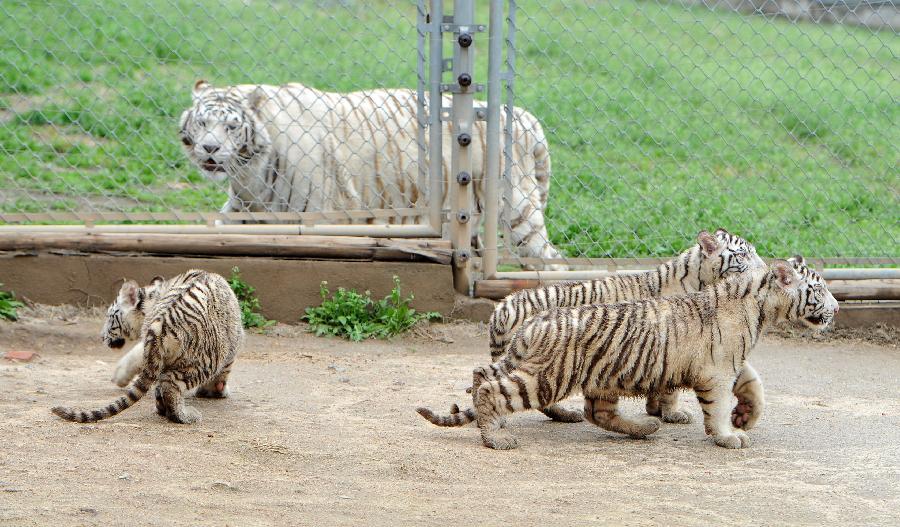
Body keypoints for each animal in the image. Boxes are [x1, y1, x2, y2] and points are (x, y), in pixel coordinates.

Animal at [51, 270, 244, 424]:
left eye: (109, 318)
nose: (101, 337)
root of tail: (163, 320)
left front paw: (119, 376)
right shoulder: (234, 342)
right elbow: (225, 371)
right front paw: (216, 391)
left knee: (161, 385)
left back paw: (163, 408)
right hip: (206, 360)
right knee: (170, 385)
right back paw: (184, 416)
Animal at [179, 80, 566, 269]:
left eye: (231, 127)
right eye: (202, 123)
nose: (209, 149)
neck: (248, 171)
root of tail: (526, 117)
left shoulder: (319, 215)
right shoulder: (244, 208)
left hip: (516, 209)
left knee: (554, 262)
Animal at [417, 257, 838, 449]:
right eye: (819, 289)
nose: (836, 308)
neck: (761, 305)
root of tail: (532, 324)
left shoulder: (731, 362)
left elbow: (755, 384)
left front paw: (746, 416)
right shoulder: (716, 372)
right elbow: (717, 407)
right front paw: (728, 435)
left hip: (596, 378)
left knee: (594, 412)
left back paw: (644, 429)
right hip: (546, 376)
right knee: (491, 388)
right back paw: (495, 437)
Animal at [480, 228, 767, 426]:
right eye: (743, 254)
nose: (765, 269)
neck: (699, 278)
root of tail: (502, 308)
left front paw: (656, 410)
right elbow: (671, 390)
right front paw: (673, 414)